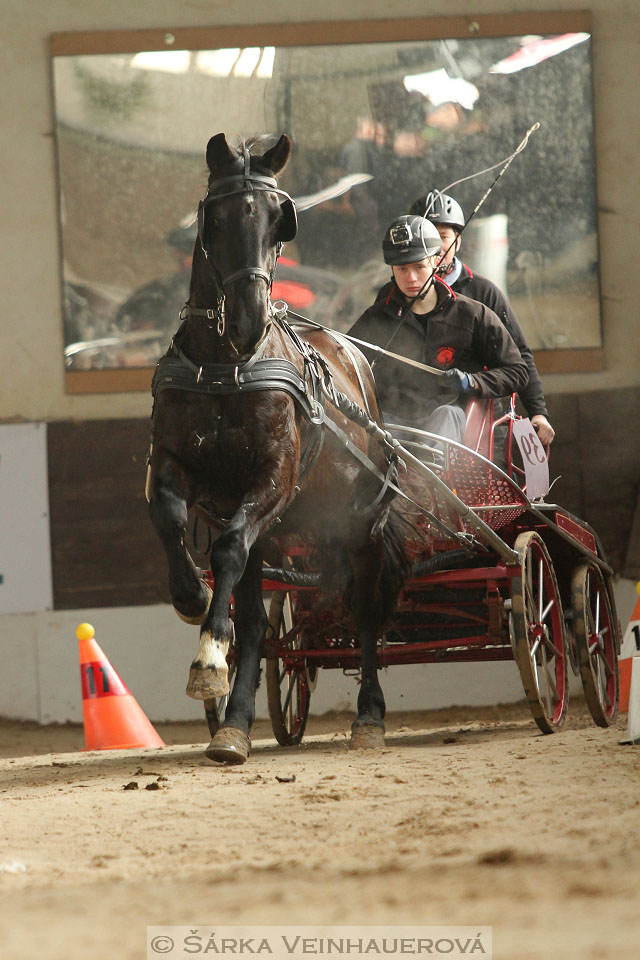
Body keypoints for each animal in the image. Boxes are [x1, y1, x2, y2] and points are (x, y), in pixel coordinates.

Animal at [147, 135, 404, 764]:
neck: (227, 365)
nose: (249, 318)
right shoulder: (179, 470)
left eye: (277, 220)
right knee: (258, 619)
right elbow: (172, 522)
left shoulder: (273, 477)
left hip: (358, 526)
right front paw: (192, 599)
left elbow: (228, 552)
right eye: (214, 220)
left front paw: (208, 657)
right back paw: (234, 725)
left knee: (365, 612)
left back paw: (369, 715)